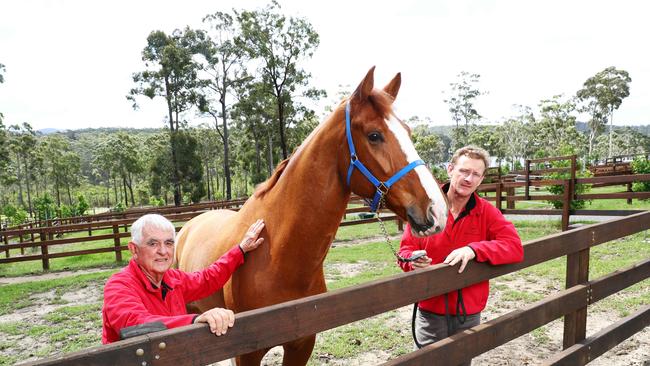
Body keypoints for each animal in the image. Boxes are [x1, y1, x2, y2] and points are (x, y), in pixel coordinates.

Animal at [173, 67, 446, 364]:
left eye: (407, 131)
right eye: (374, 135)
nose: (437, 209)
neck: (278, 255)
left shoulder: (302, 343)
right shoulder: (246, 354)